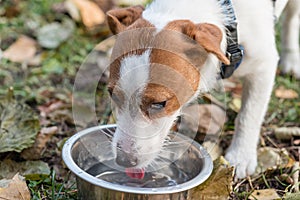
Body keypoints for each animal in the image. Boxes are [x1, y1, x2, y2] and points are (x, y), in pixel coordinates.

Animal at [105, 0, 300, 178]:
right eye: (112, 95)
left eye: (160, 103)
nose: (123, 160)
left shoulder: (263, 67)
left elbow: (248, 116)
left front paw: (241, 156)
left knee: (292, 17)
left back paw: (291, 58)